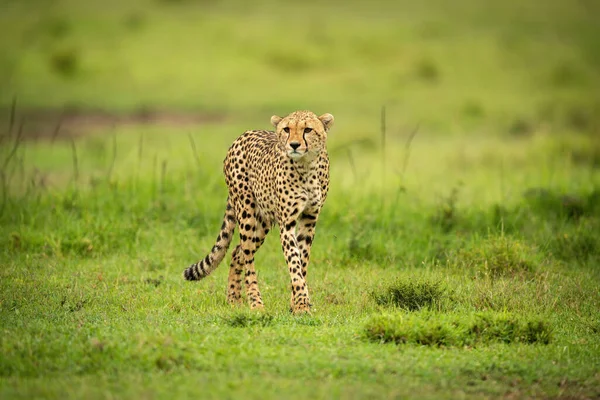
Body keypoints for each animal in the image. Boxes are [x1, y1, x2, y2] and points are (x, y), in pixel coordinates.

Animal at [184, 111, 332, 314]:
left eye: (308, 129)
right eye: (286, 129)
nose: (294, 145)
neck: (306, 165)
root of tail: (243, 135)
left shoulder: (309, 220)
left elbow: (302, 262)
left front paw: (296, 304)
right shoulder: (287, 224)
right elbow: (294, 263)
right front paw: (301, 304)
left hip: (263, 222)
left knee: (237, 251)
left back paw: (234, 299)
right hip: (246, 212)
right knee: (247, 257)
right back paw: (255, 303)